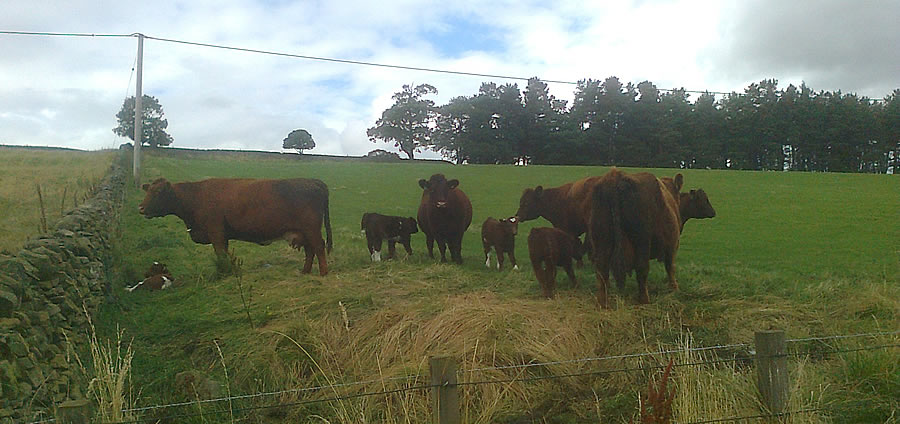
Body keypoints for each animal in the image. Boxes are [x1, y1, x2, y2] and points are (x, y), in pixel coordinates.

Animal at [139, 177, 336, 276]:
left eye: (158, 192)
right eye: (147, 190)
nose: (140, 208)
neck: (195, 197)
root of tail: (313, 181)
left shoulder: (216, 233)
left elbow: (220, 254)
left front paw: (225, 272)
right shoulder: (222, 236)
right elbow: (226, 254)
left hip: (311, 229)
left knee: (318, 247)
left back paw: (323, 273)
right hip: (304, 231)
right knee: (310, 250)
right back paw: (305, 271)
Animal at [588, 167, 680, 306]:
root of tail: (614, 177)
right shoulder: (672, 245)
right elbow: (670, 267)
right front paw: (674, 288)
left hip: (601, 240)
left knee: (601, 269)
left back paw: (602, 303)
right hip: (642, 240)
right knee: (642, 268)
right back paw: (644, 300)